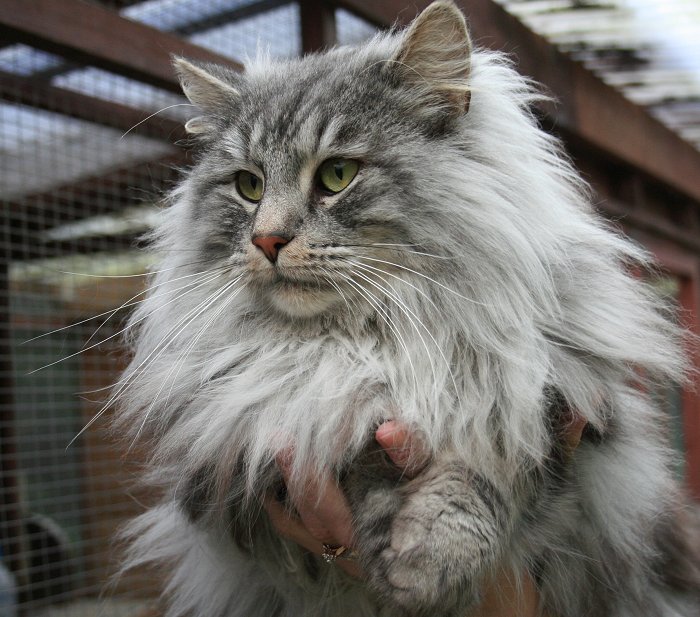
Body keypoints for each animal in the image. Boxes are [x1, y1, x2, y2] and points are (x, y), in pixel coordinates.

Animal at [112, 1, 696, 616]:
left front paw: (431, 557)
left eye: (337, 175)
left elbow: (492, 472)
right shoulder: (253, 439)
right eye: (248, 185)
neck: (364, 341)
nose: (266, 240)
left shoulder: (557, 405)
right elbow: (358, 463)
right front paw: (399, 560)